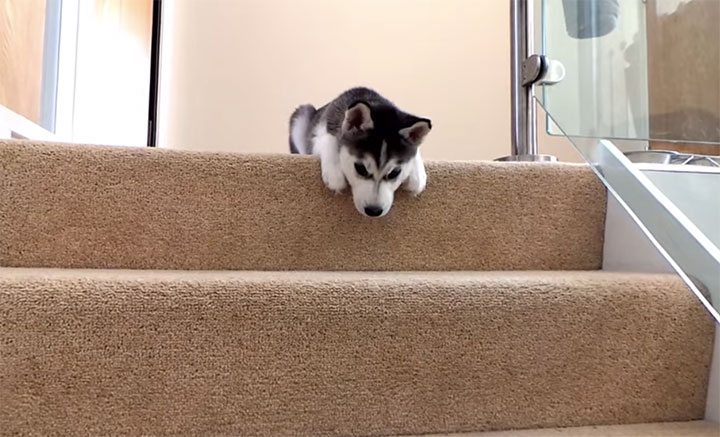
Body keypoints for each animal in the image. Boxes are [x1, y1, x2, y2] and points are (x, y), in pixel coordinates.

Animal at [288, 87, 434, 217]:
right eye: (361, 169)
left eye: (394, 173)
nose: (373, 211)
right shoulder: (319, 131)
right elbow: (329, 139)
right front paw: (334, 173)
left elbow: (416, 152)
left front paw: (417, 175)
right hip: (302, 114)